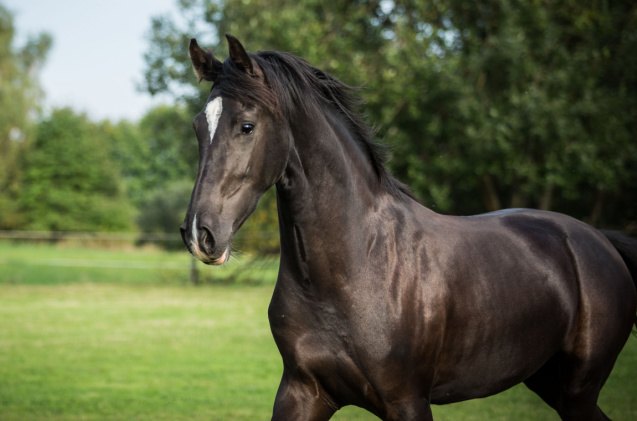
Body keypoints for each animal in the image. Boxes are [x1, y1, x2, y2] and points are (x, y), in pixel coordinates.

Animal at [179, 34, 636, 418]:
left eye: (247, 126)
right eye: (198, 127)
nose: (200, 234)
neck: (358, 263)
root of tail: (597, 240)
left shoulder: (407, 400)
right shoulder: (301, 391)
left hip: (578, 390)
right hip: (552, 385)